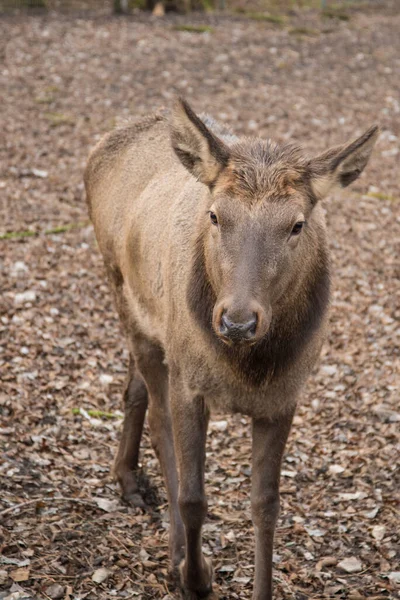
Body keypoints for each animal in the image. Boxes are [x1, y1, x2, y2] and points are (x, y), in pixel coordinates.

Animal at [84, 99, 378, 600]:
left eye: (297, 224)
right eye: (216, 216)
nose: (237, 321)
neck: (247, 369)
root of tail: (101, 146)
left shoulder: (284, 397)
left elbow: (266, 506)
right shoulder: (190, 383)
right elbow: (193, 496)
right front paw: (195, 577)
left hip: (152, 320)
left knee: (134, 387)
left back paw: (127, 478)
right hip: (122, 292)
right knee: (159, 421)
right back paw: (173, 550)